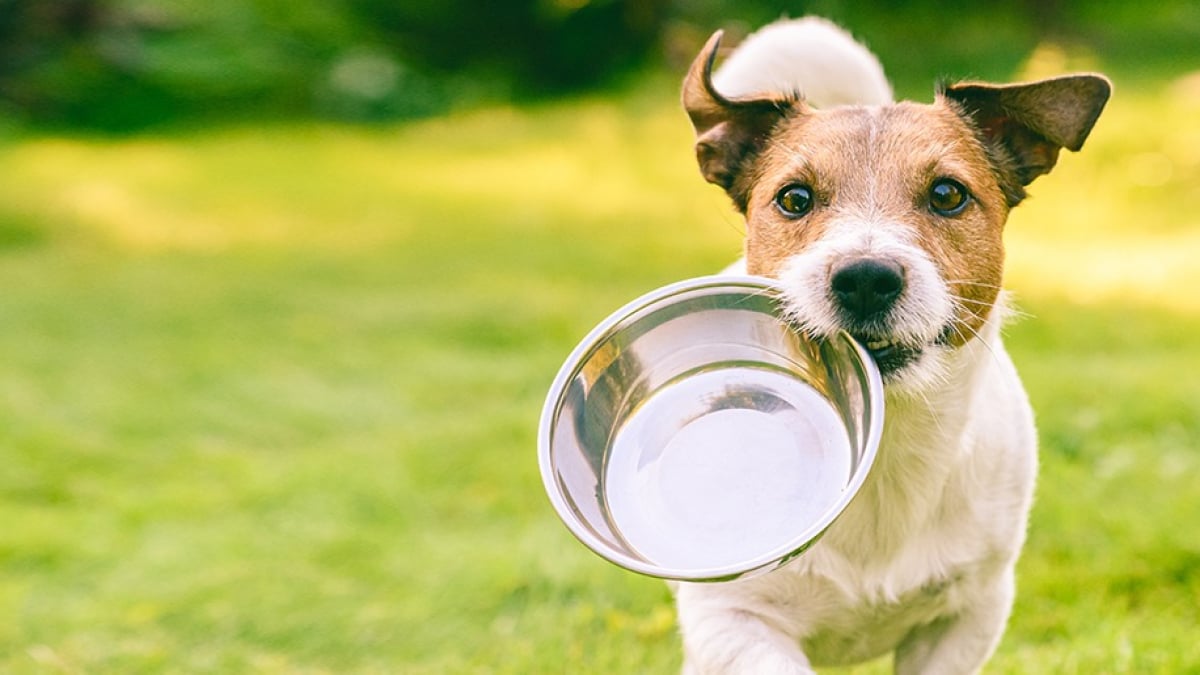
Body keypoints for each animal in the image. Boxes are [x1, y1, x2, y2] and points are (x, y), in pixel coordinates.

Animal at [681, 17, 1108, 672]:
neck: (885, 450)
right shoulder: (733, 619)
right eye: (794, 199)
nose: (864, 278)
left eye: (948, 194)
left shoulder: (968, 614)